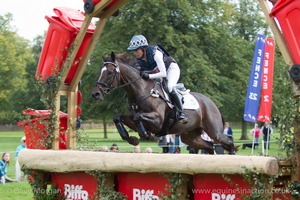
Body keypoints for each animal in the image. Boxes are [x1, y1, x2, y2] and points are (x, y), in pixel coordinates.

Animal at [91, 52, 234, 155]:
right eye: (100, 72)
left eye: (109, 73)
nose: (95, 94)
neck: (140, 90)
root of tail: (211, 103)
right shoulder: (133, 119)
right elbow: (118, 118)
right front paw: (132, 139)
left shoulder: (157, 122)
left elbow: (138, 117)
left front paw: (146, 135)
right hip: (190, 136)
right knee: (209, 146)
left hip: (215, 132)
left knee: (227, 142)